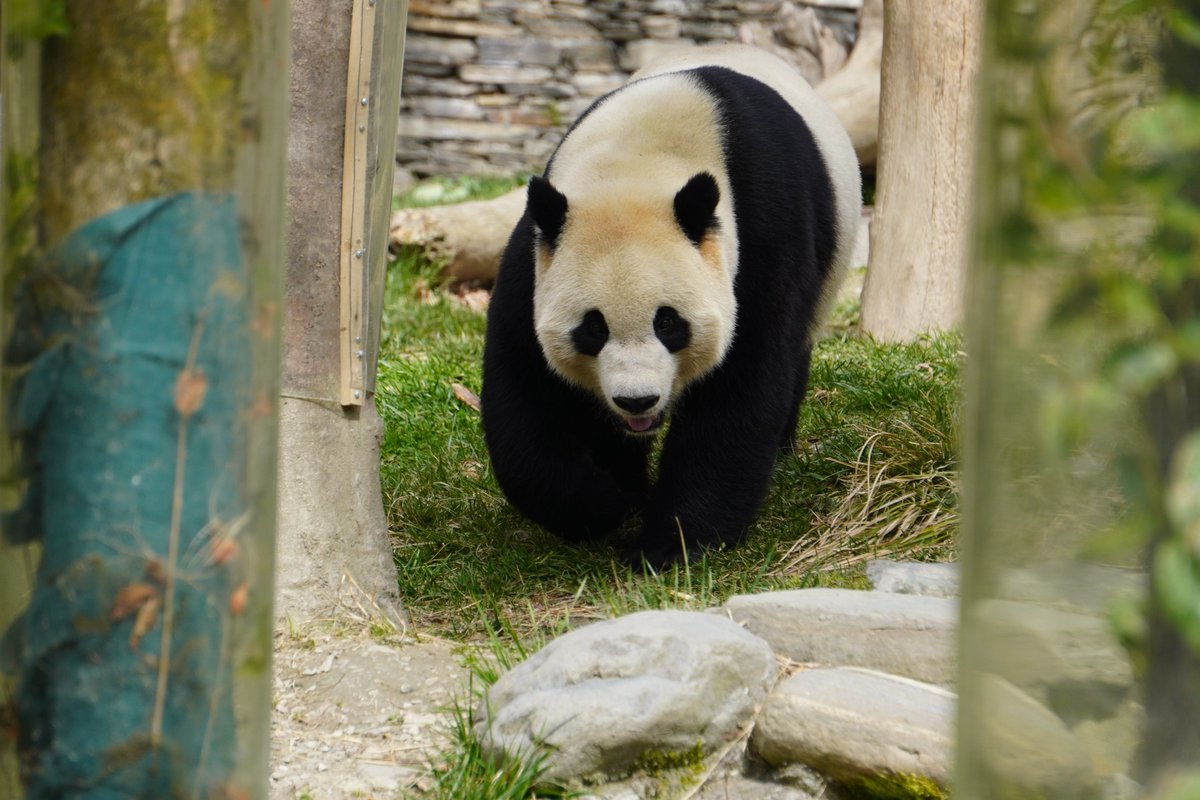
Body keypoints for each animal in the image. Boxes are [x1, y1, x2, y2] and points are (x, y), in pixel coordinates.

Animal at [481, 43, 862, 568]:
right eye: (593, 329)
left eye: (668, 323)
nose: (637, 400)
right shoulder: (538, 251)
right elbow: (524, 384)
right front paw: (603, 505)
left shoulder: (764, 231)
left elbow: (742, 384)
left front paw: (669, 545)